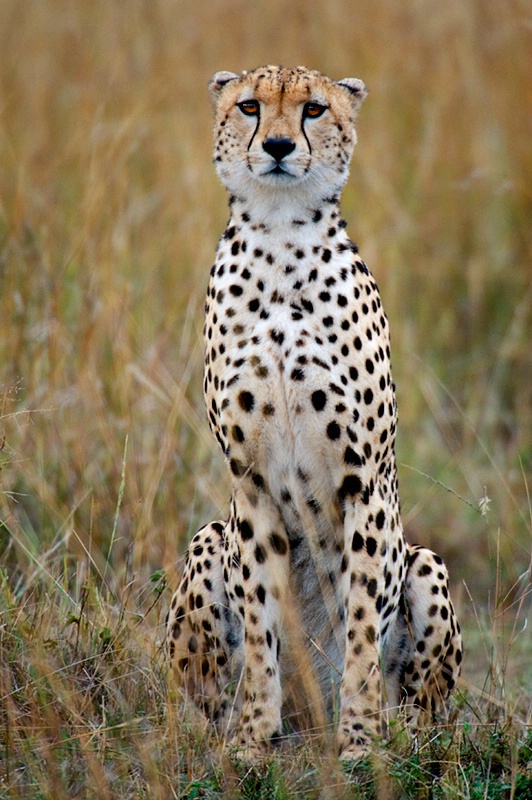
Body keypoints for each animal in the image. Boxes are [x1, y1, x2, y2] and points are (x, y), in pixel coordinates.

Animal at [166, 65, 462, 760]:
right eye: (250, 107)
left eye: (315, 109)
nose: (277, 146)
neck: (280, 236)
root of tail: (311, 721)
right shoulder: (249, 484)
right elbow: (261, 623)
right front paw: (251, 741)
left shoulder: (365, 481)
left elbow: (361, 625)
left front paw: (360, 743)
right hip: (208, 537)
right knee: (200, 701)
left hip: (426, 563)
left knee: (427, 710)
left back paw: (395, 733)